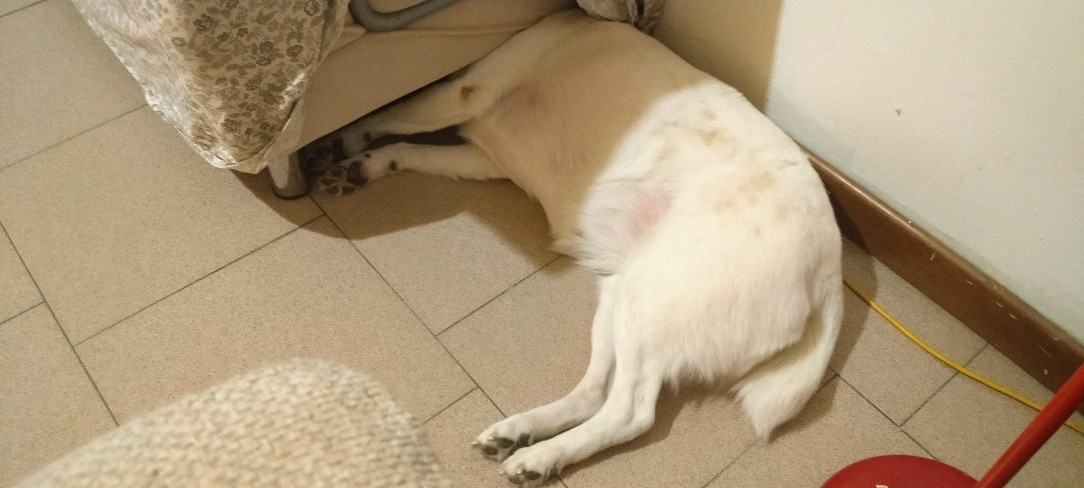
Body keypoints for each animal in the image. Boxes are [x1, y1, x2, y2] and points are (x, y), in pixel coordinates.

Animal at [333, 9, 841, 485]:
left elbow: (385, 114)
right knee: (593, 394)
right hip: (619, 296)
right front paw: (366, 164)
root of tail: (830, 274)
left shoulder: (466, 91)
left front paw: (338, 141)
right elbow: (411, 150)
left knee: (630, 413)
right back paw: (520, 433)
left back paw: (538, 457)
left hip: (649, 298)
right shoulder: (483, 158)